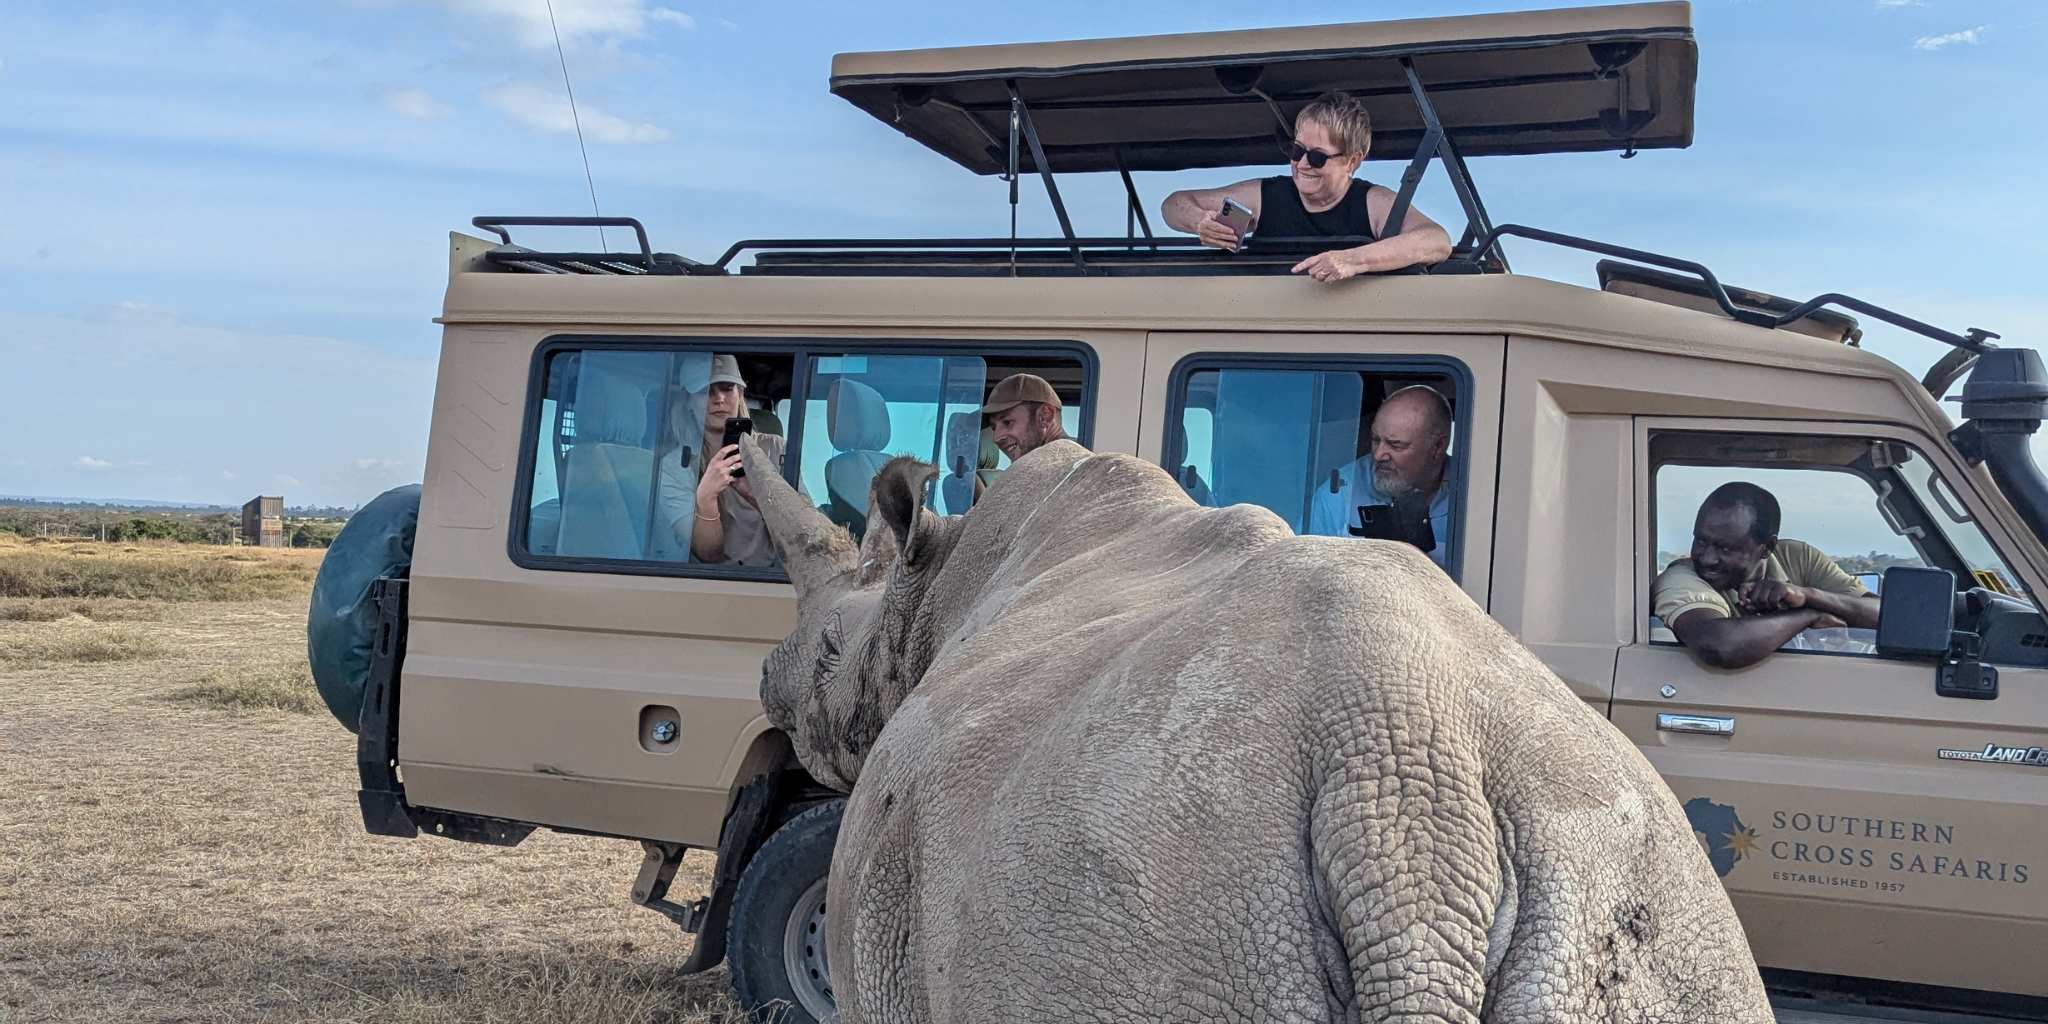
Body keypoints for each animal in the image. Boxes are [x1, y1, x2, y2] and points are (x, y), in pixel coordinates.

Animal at [740, 435, 1771, 1024]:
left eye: (828, 651)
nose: (765, 679)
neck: (926, 590)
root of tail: (1405, 779)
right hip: (1646, 900)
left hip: (1122, 901)